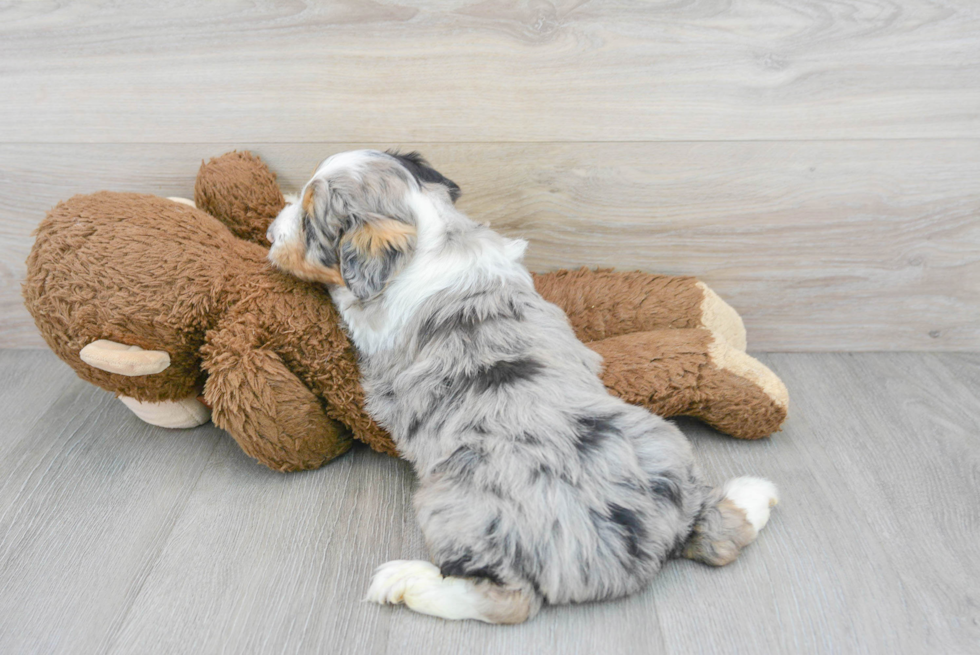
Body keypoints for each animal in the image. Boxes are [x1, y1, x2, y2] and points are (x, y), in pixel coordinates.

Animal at [264, 150, 776, 624]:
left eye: (309, 222)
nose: (269, 232)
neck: (431, 237)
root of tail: (636, 545)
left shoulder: (369, 321)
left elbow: (344, 297)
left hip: (452, 504)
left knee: (508, 601)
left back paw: (406, 581)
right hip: (662, 439)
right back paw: (755, 495)